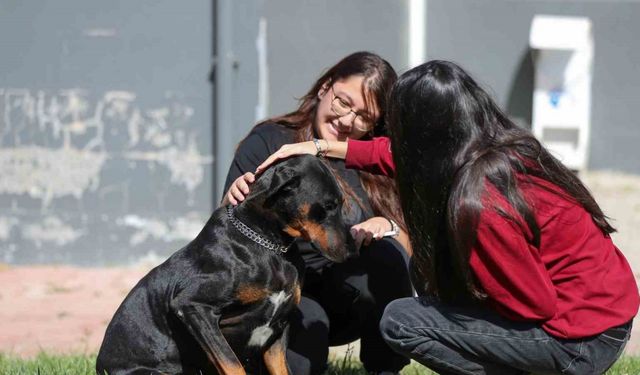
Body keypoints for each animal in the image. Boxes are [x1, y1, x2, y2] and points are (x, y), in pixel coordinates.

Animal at [97, 155, 352, 374]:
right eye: (329, 205)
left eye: (341, 203)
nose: (352, 251)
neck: (270, 245)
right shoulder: (193, 307)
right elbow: (232, 364)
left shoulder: (279, 329)